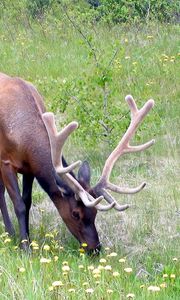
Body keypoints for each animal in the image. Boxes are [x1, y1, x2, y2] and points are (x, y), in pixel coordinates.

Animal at [0, 72, 155, 253]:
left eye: (95, 212)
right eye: (75, 213)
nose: (95, 248)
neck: (24, 138)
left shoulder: (29, 169)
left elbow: (27, 201)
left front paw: (28, 240)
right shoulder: (6, 162)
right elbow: (19, 205)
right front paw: (25, 247)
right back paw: (10, 232)